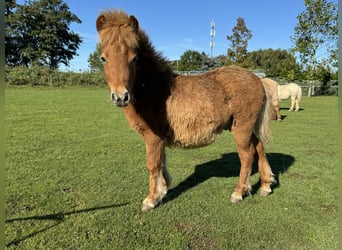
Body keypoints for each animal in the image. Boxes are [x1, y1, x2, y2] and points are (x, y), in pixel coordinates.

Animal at [96, 9, 276, 211]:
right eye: (103, 58)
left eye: (134, 59)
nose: (120, 97)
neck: (154, 88)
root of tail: (258, 79)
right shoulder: (160, 139)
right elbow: (162, 162)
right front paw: (163, 190)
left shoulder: (153, 138)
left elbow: (153, 165)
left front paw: (151, 199)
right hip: (248, 127)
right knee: (259, 147)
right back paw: (266, 186)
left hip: (242, 128)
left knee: (247, 155)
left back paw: (238, 193)